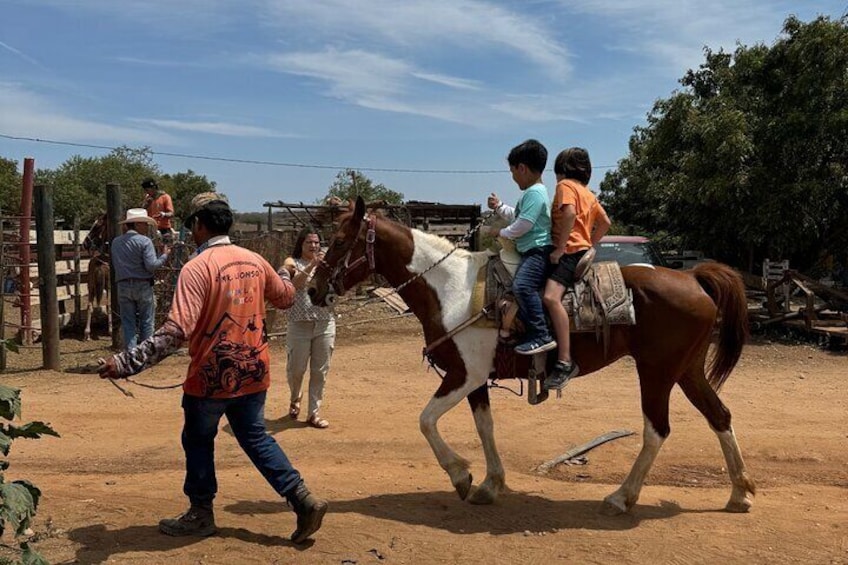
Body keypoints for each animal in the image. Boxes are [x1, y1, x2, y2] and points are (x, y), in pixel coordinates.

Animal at [306, 197, 756, 516]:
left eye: (340, 241)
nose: (312, 289)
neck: (450, 290)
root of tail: (692, 276)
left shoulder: (462, 374)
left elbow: (426, 421)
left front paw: (461, 475)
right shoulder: (475, 379)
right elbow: (484, 427)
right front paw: (489, 484)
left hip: (657, 372)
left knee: (657, 430)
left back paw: (622, 497)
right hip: (687, 370)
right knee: (720, 416)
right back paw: (740, 493)